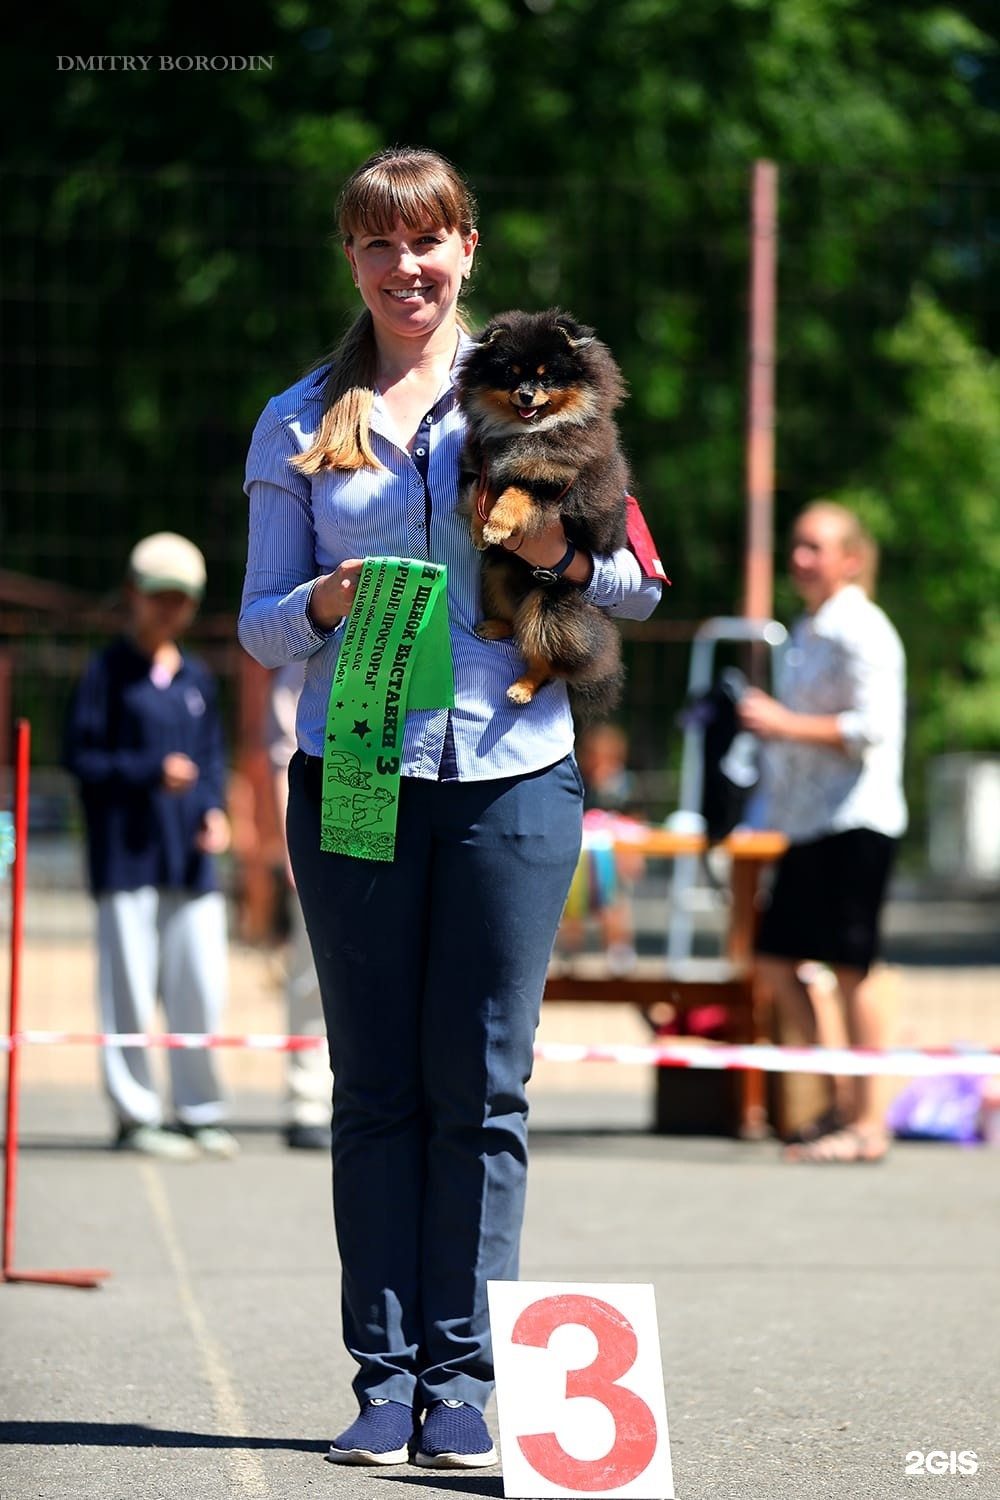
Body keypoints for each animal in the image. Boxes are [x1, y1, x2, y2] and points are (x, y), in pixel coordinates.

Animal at [458, 306, 629, 714]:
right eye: (510, 374)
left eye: (546, 375)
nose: (525, 395)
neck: (528, 433)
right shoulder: (482, 463)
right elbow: (484, 491)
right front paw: (480, 529)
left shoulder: (555, 482)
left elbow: (517, 493)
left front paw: (497, 525)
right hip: (498, 574)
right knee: (516, 622)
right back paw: (497, 626)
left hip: (550, 603)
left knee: (544, 659)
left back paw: (523, 687)